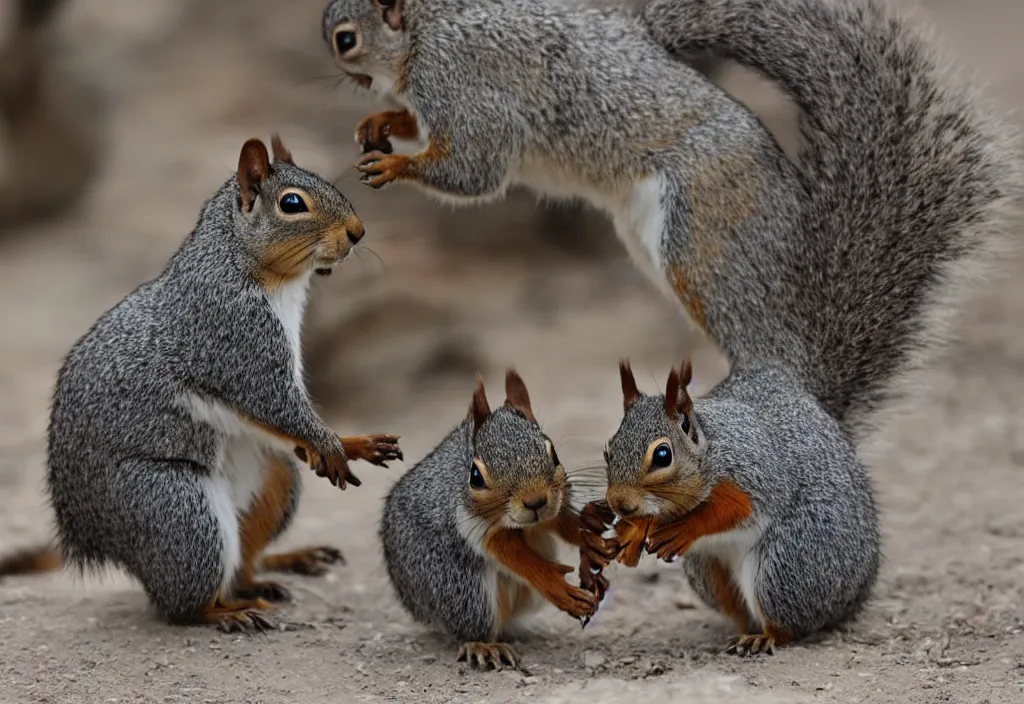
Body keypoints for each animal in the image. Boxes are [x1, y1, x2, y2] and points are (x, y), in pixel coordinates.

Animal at [0, 133, 401, 634]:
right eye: (292, 203)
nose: (358, 232)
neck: (246, 267)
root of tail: (91, 537)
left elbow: (279, 419)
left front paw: (352, 444)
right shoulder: (234, 340)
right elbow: (274, 403)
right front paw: (330, 444)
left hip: (273, 480)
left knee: (242, 565)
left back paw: (279, 567)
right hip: (176, 510)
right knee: (181, 604)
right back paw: (228, 612)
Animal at [378, 368, 610, 671]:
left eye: (554, 454)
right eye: (475, 476)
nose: (535, 501)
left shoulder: (552, 507)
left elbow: (559, 521)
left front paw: (591, 540)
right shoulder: (475, 527)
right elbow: (515, 556)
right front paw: (557, 586)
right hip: (462, 590)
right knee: (468, 624)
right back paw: (483, 646)